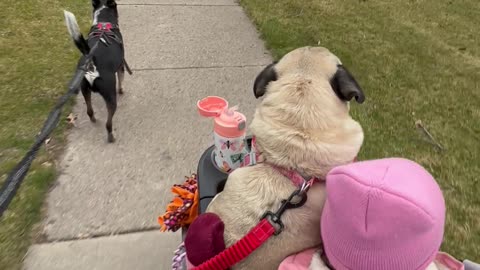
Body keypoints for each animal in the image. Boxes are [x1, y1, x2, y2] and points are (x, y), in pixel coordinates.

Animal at [63, 0, 132, 142]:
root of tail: (91, 60)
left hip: (84, 89)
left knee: (89, 110)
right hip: (110, 97)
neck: (104, 24)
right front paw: (122, 90)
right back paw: (111, 136)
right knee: (108, 123)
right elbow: (121, 81)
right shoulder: (121, 66)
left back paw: (94, 119)